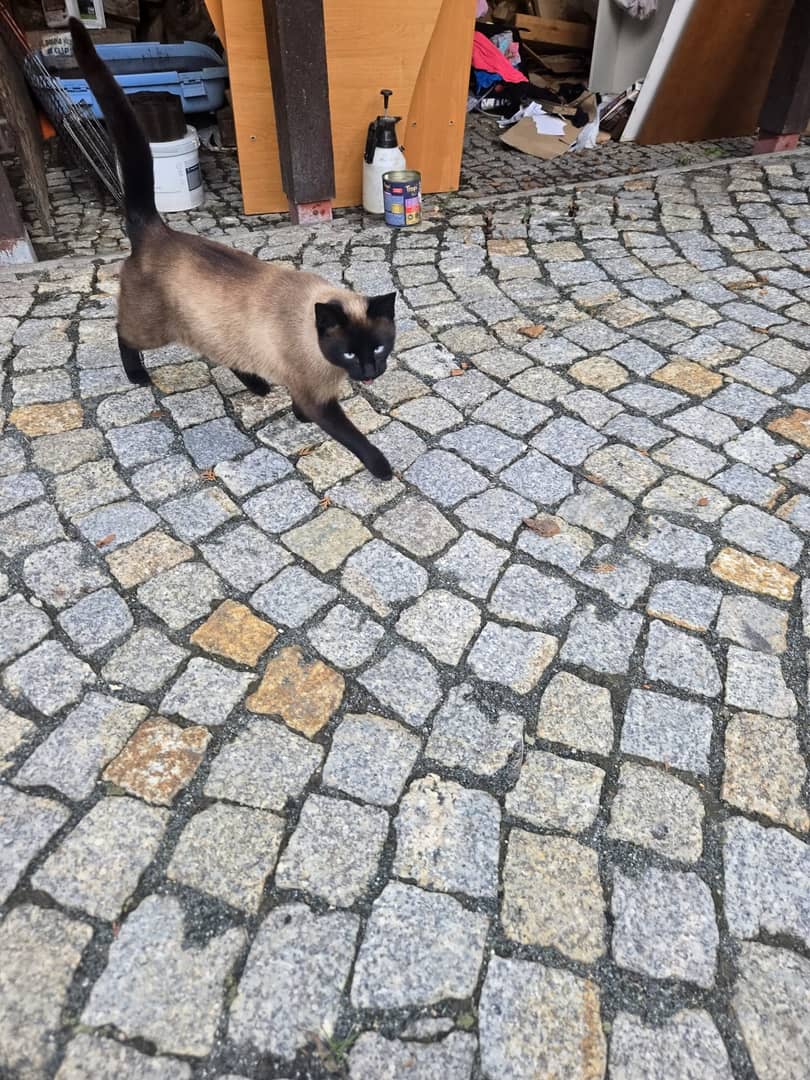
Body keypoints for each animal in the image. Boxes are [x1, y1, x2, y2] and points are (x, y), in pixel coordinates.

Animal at [68, 18, 396, 479]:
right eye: (350, 352)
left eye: (380, 348)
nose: (370, 372)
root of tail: (156, 228)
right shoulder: (319, 398)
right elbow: (353, 438)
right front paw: (383, 469)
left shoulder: (306, 387)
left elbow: (301, 409)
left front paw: (293, 415)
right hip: (151, 330)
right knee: (121, 332)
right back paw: (137, 377)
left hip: (216, 330)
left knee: (226, 355)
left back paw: (257, 386)